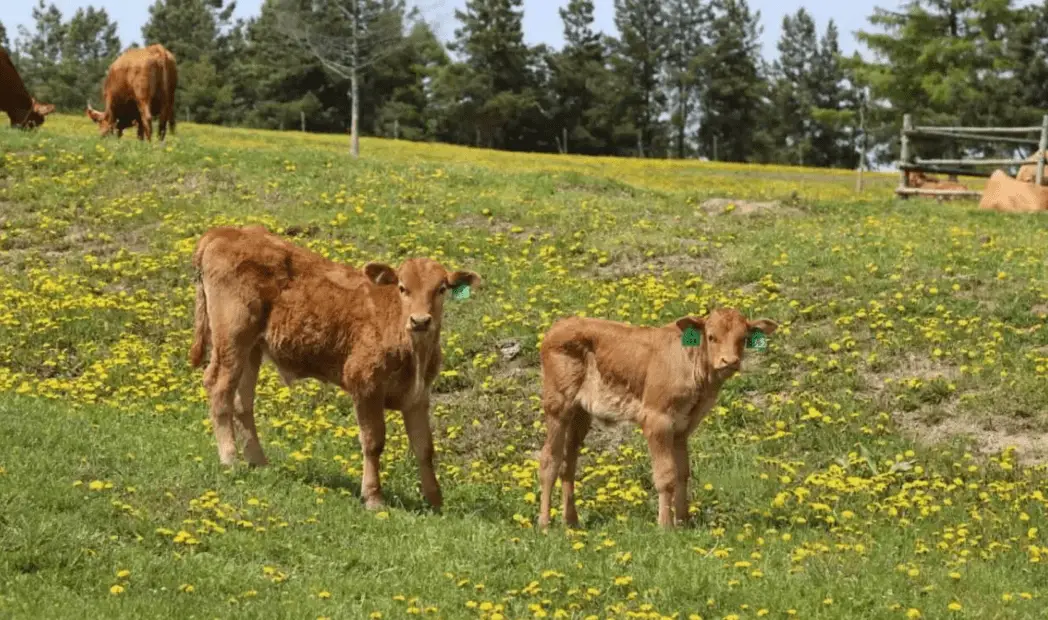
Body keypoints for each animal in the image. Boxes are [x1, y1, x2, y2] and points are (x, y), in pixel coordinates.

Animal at [189, 225, 482, 511]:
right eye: (402, 288)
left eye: (442, 289)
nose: (420, 320)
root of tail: (224, 232)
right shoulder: (366, 387)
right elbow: (373, 442)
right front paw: (373, 497)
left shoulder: (418, 397)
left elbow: (424, 447)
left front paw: (436, 501)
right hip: (232, 338)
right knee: (219, 388)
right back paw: (229, 458)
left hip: (252, 348)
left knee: (243, 401)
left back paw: (259, 462)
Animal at [540, 309, 779, 527]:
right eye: (711, 336)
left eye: (743, 338)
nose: (729, 361)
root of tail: (558, 326)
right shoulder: (657, 421)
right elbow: (666, 475)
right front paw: (665, 525)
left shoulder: (682, 427)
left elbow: (683, 473)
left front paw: (684, 521)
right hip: (557, 405)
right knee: (549, 459)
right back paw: (545, 524)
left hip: (580, 414)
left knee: (568, 464)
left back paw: (571, 521)